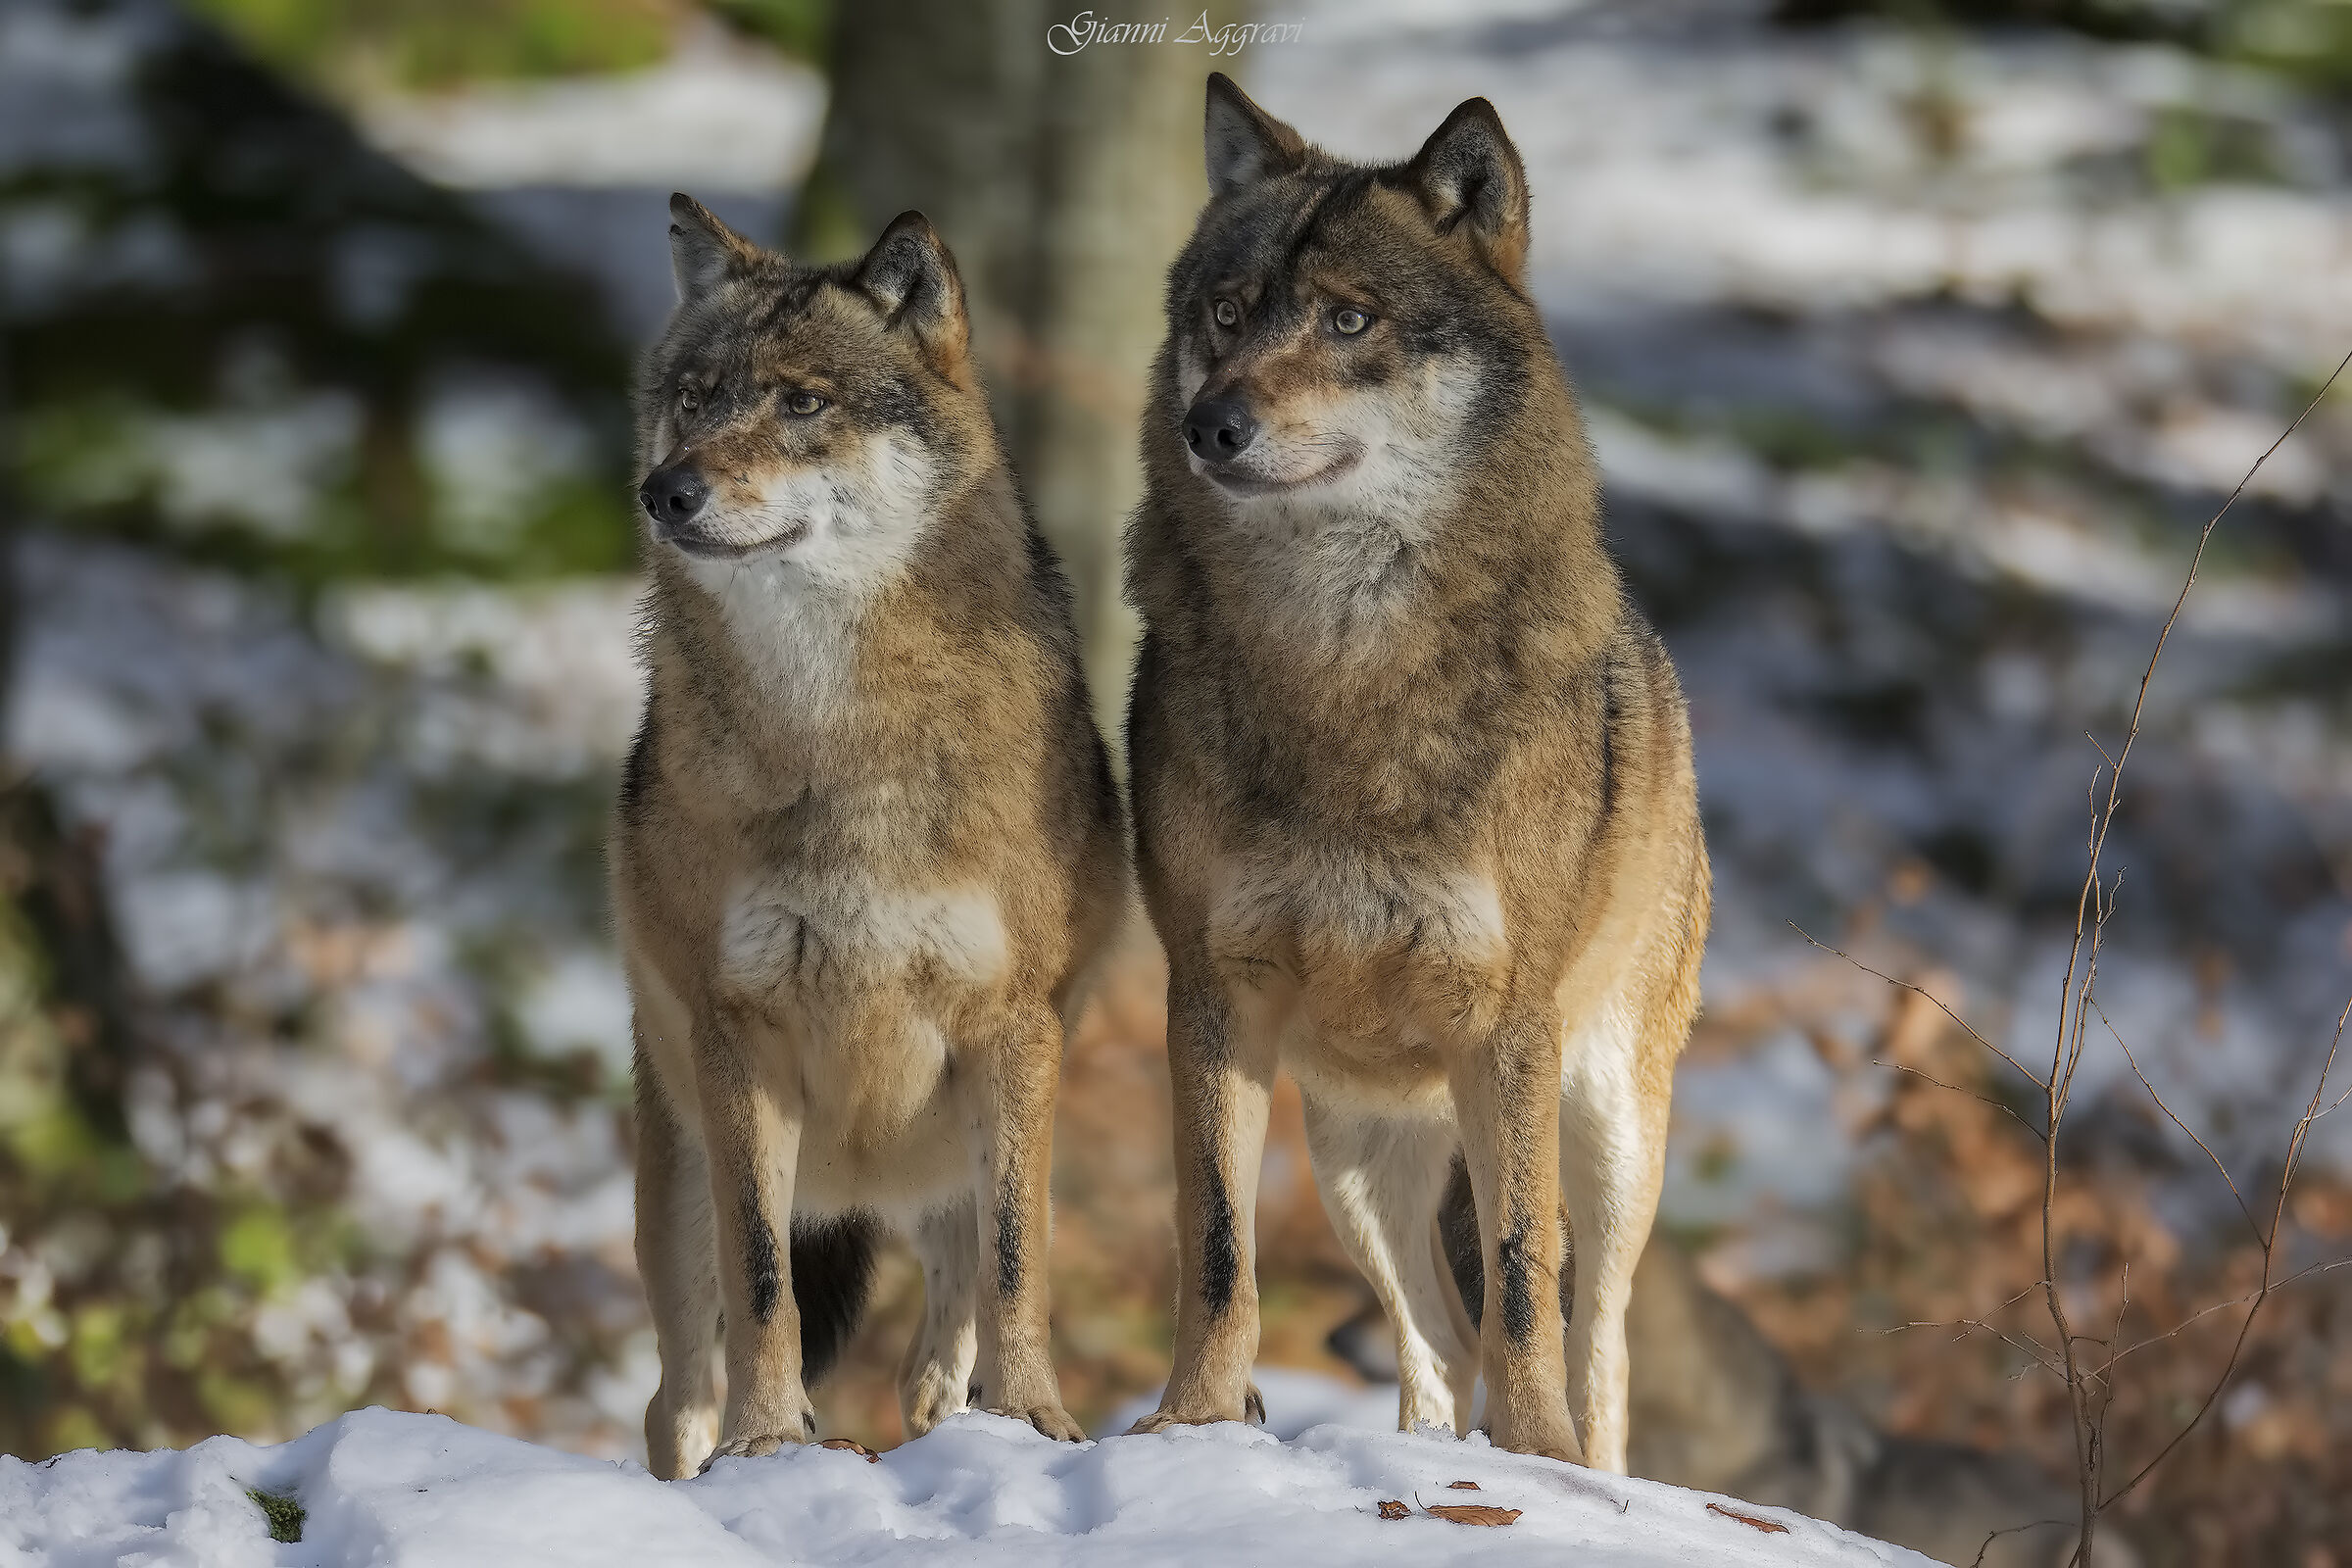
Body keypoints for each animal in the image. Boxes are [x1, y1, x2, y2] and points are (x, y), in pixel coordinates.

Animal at [613, 196, 1127, 1478]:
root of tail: (860, 1177)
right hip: (679, 1180)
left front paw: (1036, 1420)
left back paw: (961, 1416)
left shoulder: (1013, 1029)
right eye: (696, 395)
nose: (665, 490)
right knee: (675, 1390)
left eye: (802, 402)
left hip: (958, 1152)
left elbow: (1018, 1266)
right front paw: (767, 1441)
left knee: (939, 1342)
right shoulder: (738, 1037)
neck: (841, 735)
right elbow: (765, 1281)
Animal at [1123, 76, 1711, 1471]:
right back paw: (1425, 1455)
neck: (1342, 666)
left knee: (1592, 1330)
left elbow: (1524, 1279)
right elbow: (1217, 1248)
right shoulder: (1212, 999)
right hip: (1356, 1145)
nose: (1210, 423)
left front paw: (1541, 1459)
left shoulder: (1506, 1028)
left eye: (1350, 320)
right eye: (1227, 313)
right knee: (1432, 1338)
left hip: (1611, 1130)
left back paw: (1583, 1463)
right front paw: (1191, 1423)